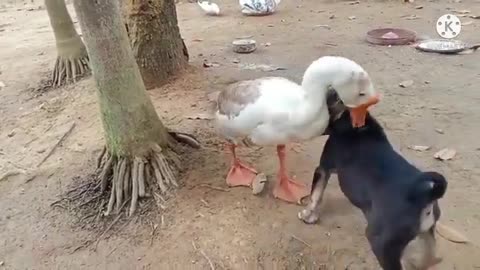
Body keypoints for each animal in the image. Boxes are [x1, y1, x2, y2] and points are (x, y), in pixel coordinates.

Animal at [300, 91, 446, 270]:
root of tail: (426, 195)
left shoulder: (323, 169)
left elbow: (315, 195)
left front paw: (307, 215)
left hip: (382, 244)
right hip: (427, 232)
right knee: (431, 257)